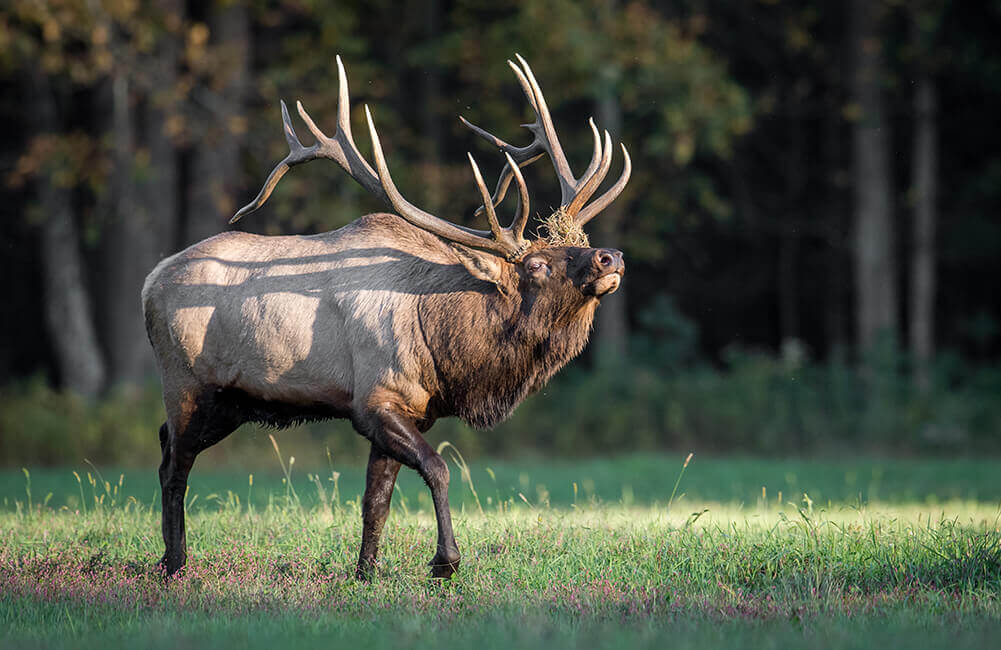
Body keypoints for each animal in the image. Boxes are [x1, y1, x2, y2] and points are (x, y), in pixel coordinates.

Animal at [145, 57, 628, 576]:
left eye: (579, 245)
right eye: (536, 265)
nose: (611, 257)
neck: (445, 348)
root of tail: (150, 283)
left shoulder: (411, 411)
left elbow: (375, 500)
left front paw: (366, 573)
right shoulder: (375, 400)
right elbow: (438, 469)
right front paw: (444, 562)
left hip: (229, 402)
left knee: (165, 443)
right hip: (186, 384)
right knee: (175, 466)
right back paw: (174, 563)